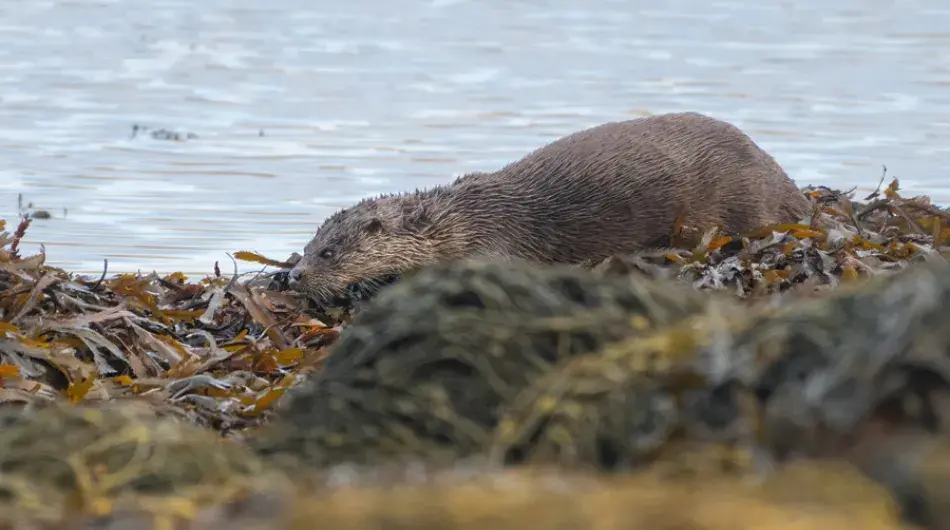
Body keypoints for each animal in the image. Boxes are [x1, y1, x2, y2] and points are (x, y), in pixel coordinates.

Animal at [288, 111, 812, 304]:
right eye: (307, 247)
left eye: (328, 253)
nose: (292, 275)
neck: (459, 221)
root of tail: (786, 181)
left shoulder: (491, 248)